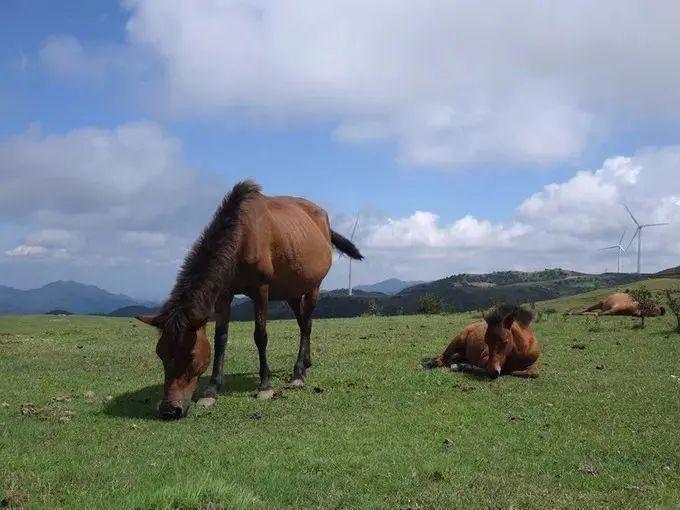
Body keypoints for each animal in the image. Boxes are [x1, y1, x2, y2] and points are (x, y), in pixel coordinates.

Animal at [135, 179, 364, 418]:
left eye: (190, 355)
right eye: (160, 353)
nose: (170, 409)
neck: (241, 236)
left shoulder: (260, 290)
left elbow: (260, 335)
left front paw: (265, 385)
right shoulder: (223, 294)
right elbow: (221, 338)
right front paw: (212, 390)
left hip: (313, 287)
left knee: (307, 324)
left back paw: (298, 373)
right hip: (291, 291)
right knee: (303, 323)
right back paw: (306, 363)